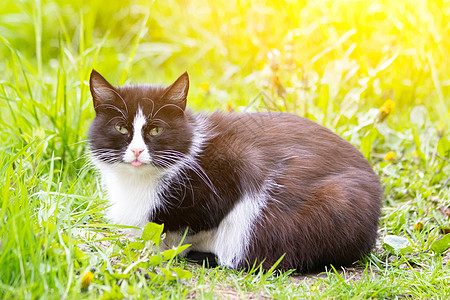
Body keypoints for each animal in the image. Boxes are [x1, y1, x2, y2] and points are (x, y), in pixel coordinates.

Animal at [89, 69, 384, 272]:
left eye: (156, 130)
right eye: (121, 128)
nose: (138, 151)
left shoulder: (238, 162)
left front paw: (166, 249)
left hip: (333, 205)